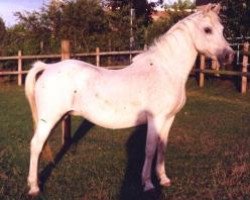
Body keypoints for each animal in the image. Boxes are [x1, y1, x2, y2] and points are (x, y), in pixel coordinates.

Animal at [25, 4, 234, 195]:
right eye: (207, 30)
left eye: (222, 29)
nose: (229, 55)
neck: (165, 70)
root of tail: (47, 67)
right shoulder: (155, 119)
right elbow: (150, 149)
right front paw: (148, 183)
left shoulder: (168, 119)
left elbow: (162, 147)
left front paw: (163, 179)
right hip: (49, 119)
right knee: (36, 145)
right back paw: (34, 187)